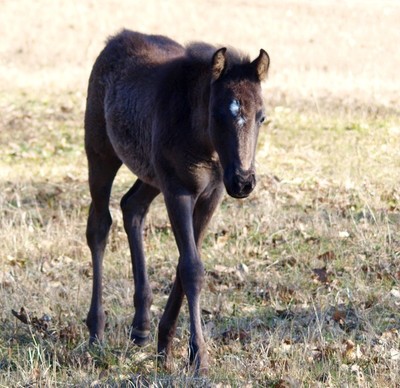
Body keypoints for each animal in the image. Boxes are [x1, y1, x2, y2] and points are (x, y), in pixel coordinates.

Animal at [85, 30, 270, 372]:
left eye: (261, 117)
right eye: (217, 114)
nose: (243, 181)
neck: (203, 141)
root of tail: (117, 38)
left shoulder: (211, 195)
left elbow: (185, 264)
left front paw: (165, 344)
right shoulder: (178, 190)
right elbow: (192, 267)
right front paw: (198, 357)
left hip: (150, 174)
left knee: (132, 207)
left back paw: (141, 326)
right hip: (100, 153)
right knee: (99, 226)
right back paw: (96, 331)